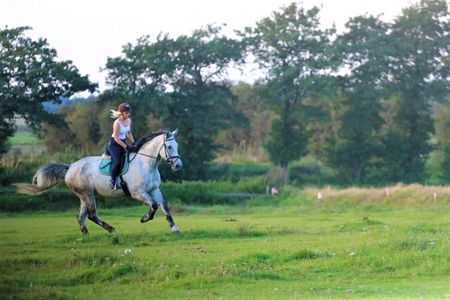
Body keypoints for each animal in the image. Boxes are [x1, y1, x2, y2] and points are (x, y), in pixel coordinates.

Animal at [16, 129, 183, 234]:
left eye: (177, 146)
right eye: (169, 146)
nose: (178, 165)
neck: (146, 163)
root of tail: (70, 167)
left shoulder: (154, 190)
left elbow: (164, 207)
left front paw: (175, 229)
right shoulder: (137, 193)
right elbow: (153, 205)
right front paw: (144, 218)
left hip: (84, 195)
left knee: (81, 216)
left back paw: (85, 234)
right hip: (87, 193)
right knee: (91, 215)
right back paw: (112, 230)